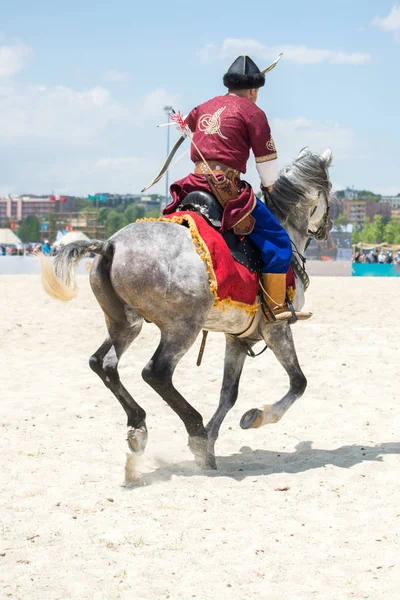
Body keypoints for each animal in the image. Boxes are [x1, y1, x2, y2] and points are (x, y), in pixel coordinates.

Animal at [41, 146, 334, 468]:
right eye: (329, 192)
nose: (327, 229)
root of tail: (110, 245)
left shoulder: (238, 337)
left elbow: (228, 393)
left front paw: (211, 445)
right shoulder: (276, 328)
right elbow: (298, 382)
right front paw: (256, 417)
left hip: (124, 324)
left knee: (103, 363)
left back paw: (140, 426)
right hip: (182, 329)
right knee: (155, 373)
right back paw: (194, 430)